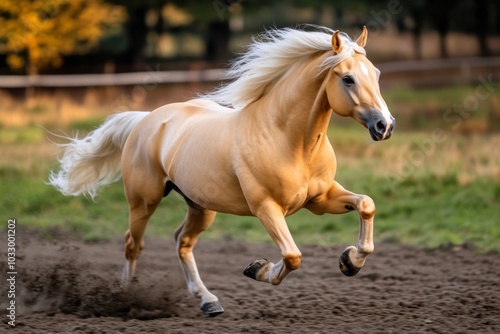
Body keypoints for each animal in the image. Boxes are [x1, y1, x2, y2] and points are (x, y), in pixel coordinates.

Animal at [47, 25, 394, 316]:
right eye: (347, 78)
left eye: (376, 74)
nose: (385, 126)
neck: (288, 140)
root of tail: (145, 119)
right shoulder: (267, 207)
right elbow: (292, 256)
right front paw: (257, 268)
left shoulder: (319, 200)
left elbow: (366, 205)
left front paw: (349, 261)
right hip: (143, 202)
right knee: (134, 243)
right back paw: (126, 297)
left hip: (201, 206)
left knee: (182, 242)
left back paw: (209, 301)